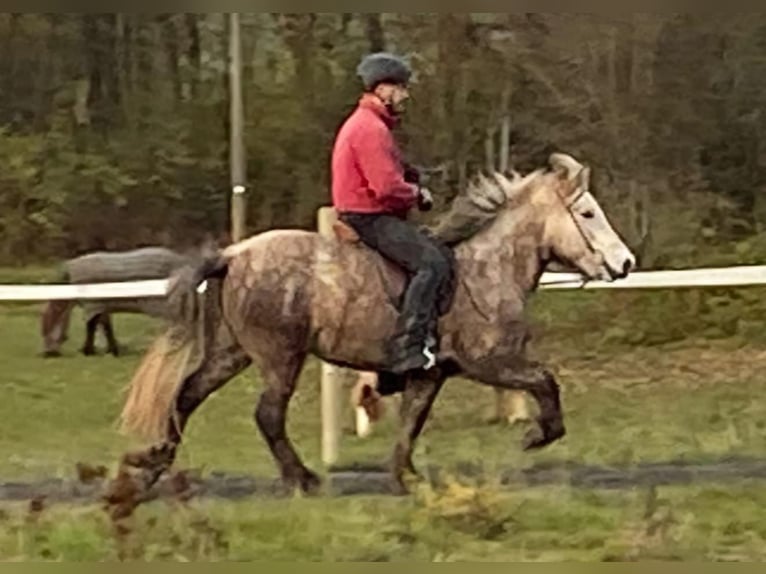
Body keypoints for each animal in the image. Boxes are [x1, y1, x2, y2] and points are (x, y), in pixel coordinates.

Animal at [40, 247, 196, 357]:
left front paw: (88, 351)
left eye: (47, 329)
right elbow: (106, 327)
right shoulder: (102, 306)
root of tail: (182, 262)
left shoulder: (92, 305)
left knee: (179, 321)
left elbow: (91, 327)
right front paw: (112, 350)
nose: (47, 354)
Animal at [107, 152, 636, 511]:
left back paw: (147, 469)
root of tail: (232, 255)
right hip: (280, 356)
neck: (488, 268)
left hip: (233, 352)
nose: (626, 263)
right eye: (587, 213)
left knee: (187, 395)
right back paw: (302, 480)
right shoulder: (491, 362)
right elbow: (546, 382)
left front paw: (406, 478)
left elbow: (411, 425)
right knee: (267, 415)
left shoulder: (431, 374)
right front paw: (536, 435)